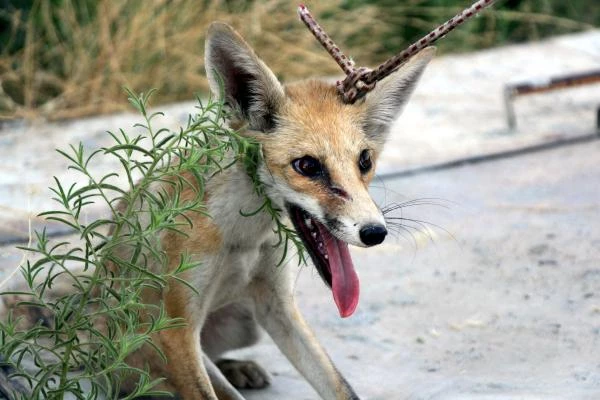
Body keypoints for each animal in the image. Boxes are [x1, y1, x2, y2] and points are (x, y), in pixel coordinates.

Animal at [0, 21, 434, 400]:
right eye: (307, 166)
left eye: (365, 161)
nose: (375, 232)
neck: (242, 238)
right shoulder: (176, 326)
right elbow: (207, 391)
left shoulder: (277, 307)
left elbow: (339, 385)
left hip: (247, 323)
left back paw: (237, 367)